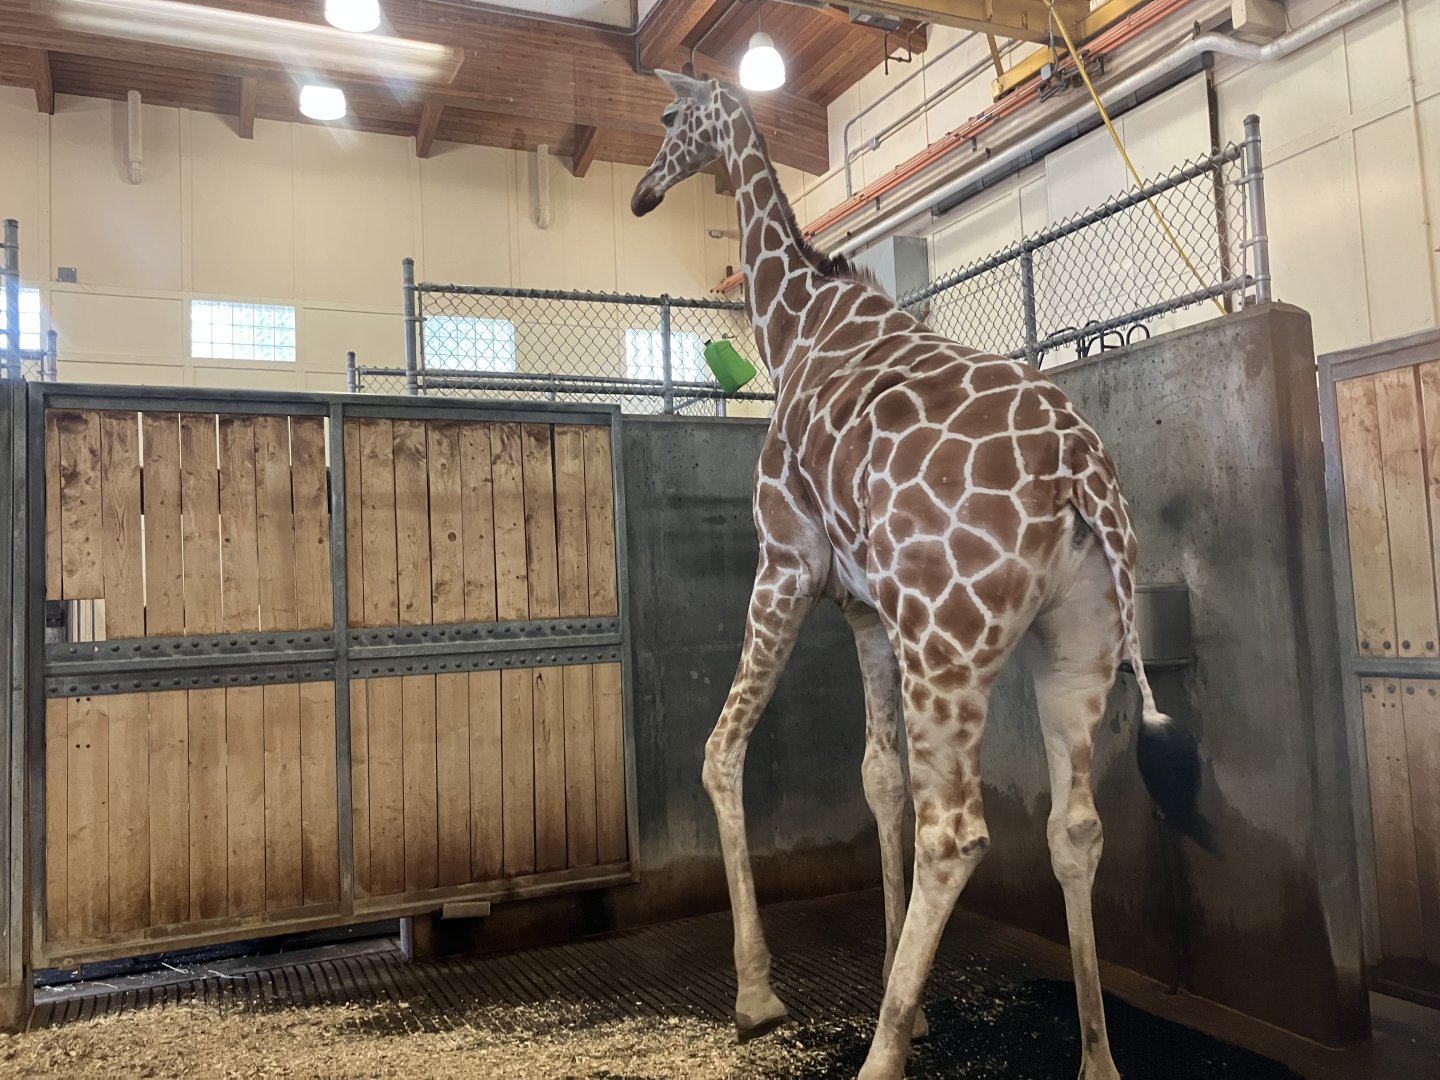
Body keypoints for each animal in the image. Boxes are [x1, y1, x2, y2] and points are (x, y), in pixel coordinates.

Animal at [631, 71, 1204, 1080]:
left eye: (668, 118)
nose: (642, 192)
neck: (795, 327)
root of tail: (1081, 473)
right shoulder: (866, 611)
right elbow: (878, 779)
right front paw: (918, 1003)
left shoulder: (786, 562)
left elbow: (721, 751)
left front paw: (757, 997)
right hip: (1078, 644)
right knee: (1075, 825)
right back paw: (1095, 1058)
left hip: (949, 643)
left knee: (958, 833)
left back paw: (878, 1058)